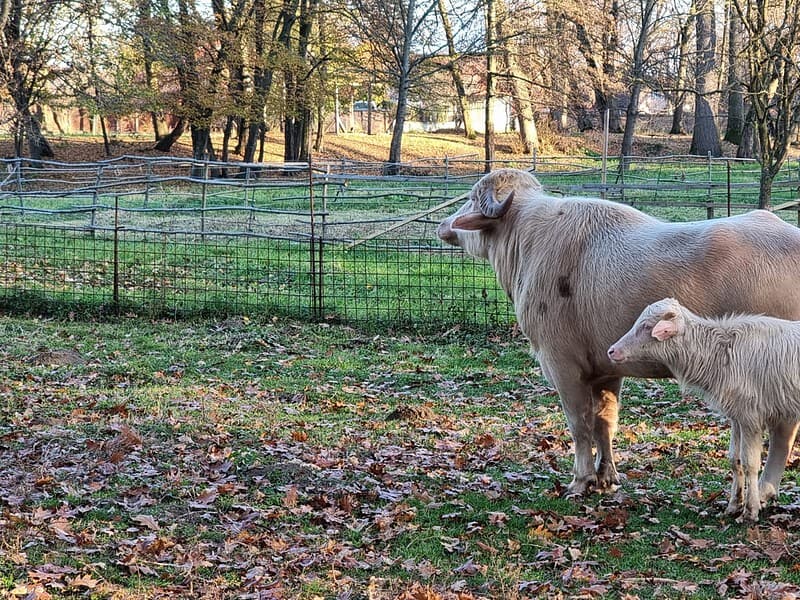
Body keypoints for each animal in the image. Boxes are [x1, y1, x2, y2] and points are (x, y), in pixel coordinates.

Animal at [608, 298, 800, 520]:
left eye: (647, 326)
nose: (611, 351)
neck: (720, 352)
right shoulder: (737, 417)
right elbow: (734, 459)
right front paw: (733, 505)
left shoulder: (750, 417)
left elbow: (750, 463)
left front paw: (750, 511)